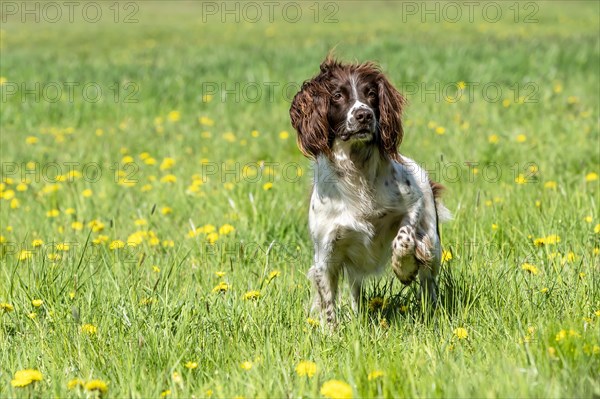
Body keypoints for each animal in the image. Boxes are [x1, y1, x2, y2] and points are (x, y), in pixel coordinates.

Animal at [290, 56, 450, 324]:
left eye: (371, 93)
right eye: (337, 95)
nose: (364, 115)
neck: (358, 171)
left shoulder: (413, 202)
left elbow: (404, 238)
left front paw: (404, 269)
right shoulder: (325, 255)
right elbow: (328, 305)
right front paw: (331, 332)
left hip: (433, 243)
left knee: (428, 279)